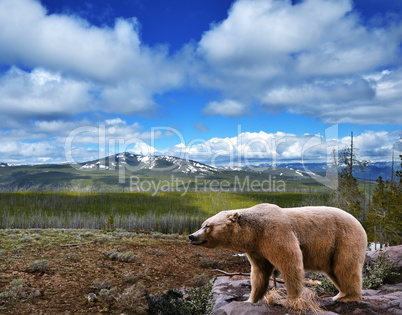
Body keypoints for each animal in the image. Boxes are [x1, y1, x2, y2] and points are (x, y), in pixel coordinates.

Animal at [188, 204, 368, 310]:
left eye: (207, 226)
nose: (191, 236)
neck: (254, 232)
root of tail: (359, 223)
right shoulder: (257, 249)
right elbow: (259, 273)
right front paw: (250, 300)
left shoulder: (275, 233)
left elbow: (291, 263)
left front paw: (289, 300)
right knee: (334, 271)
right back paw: (340, 294)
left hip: (344, 239)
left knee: (345, 268)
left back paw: (348, 297)